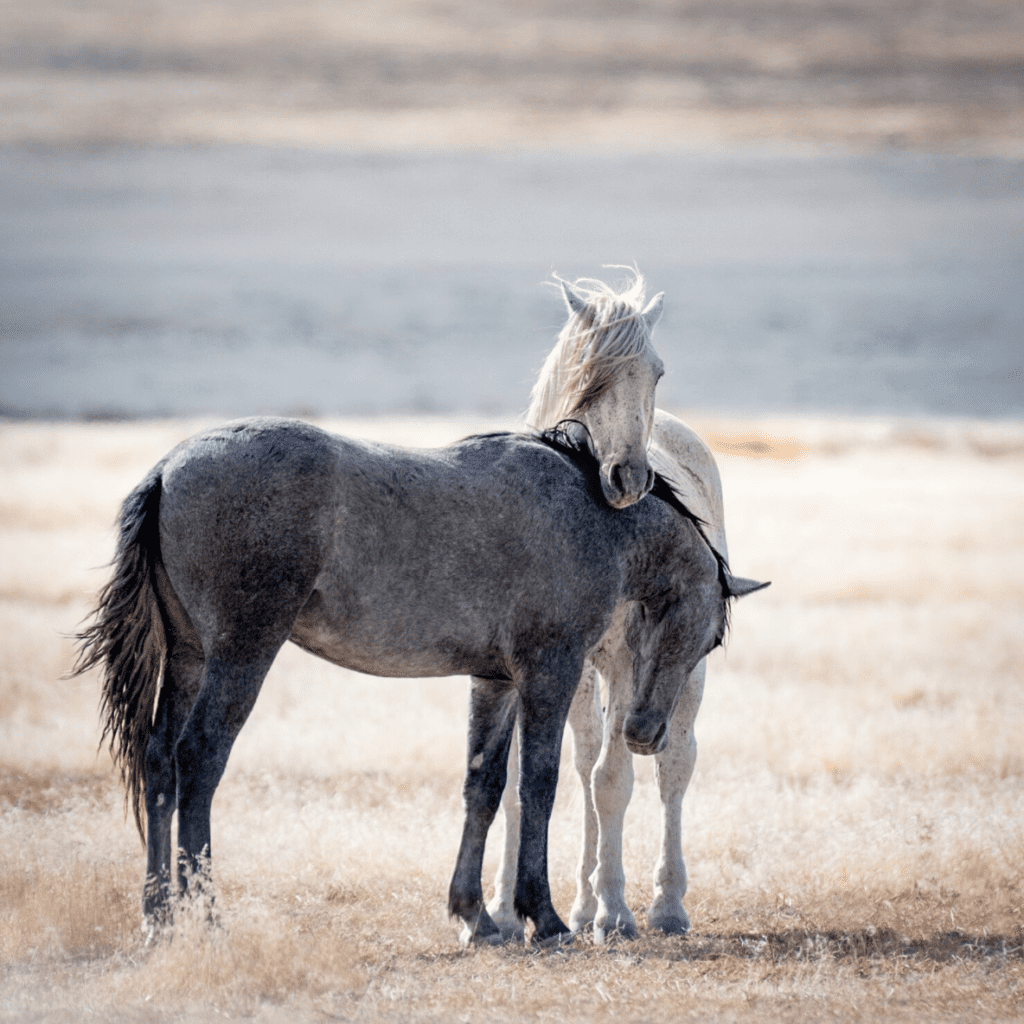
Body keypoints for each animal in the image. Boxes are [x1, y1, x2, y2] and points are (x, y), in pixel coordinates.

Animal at [74, 417, 761, 942]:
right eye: (709, 638)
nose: (644, 734)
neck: (590, 514)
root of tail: (169, 468)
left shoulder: (495, 682)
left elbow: (484, 786)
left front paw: (476, 916)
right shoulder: (551, 671)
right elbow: (538, 785)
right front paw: (543, 918)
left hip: (189, 658)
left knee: (160, 762)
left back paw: (159, 917)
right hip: (240, 654)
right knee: (199, 760)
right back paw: (206, 916)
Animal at [489, 272, 724, 942]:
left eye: (658, 371)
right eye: (587, 373)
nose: (630, 480)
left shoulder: (625, 664)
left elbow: (615, 782)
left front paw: (617, 912)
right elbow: (522, 783)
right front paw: (502, 911)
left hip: (681, 675)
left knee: (671, 767)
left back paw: (663, 905)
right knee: (587, 760)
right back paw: (582, 900)